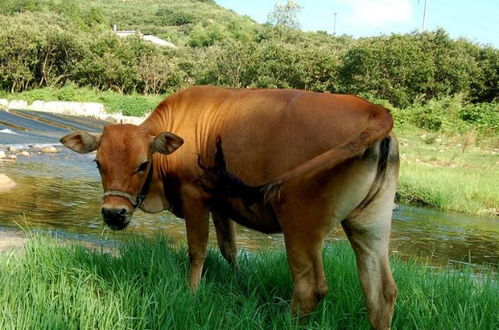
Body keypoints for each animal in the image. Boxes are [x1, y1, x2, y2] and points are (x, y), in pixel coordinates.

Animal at [60, 86, 400, 328]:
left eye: (142, 165)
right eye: (98, 163)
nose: (113, 213)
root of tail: (374, 110)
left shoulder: (194, 198)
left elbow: (198, 250)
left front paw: (192, 292)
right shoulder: (220, 205)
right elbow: (229, 248)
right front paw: (238, 281)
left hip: (301, 224)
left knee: (309, 289)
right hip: (370, 225)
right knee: (381, 292)